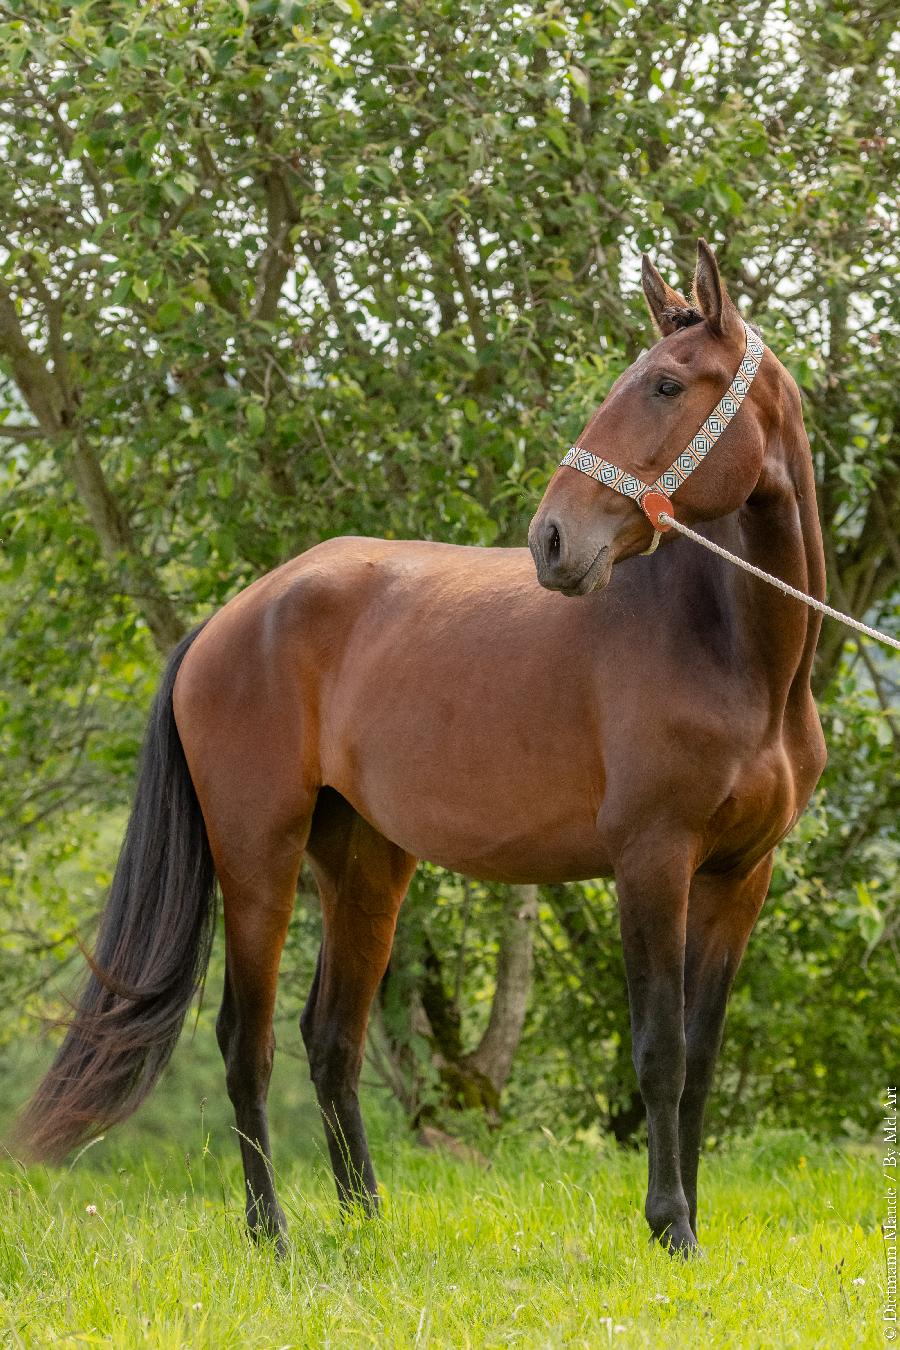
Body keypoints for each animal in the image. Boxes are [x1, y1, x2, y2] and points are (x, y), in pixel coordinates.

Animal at [17, 240, 825, 1252]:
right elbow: (661, 1051)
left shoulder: (738, 874)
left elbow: (703, 1056)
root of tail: (231, 619)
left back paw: (366, 1222)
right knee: (249, 1041)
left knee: (332, 1038)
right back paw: (271, 1233)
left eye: (669, 385)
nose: (553, 540)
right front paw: (669, 1228)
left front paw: (690, 1228)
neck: (732, 650)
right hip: (257, 857)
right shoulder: (652, 859)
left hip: (366, 860)